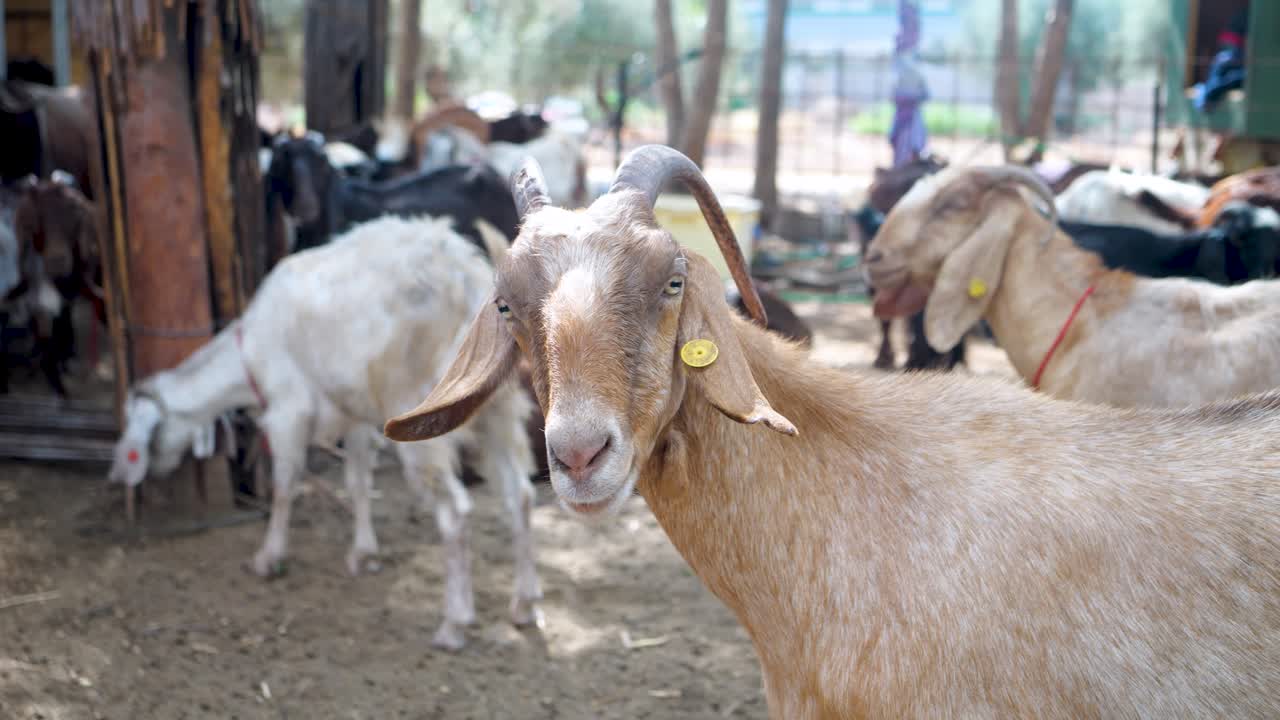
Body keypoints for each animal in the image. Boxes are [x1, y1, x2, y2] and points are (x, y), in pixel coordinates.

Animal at [108, 215, 541, 650]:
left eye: (134, 439)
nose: (121, 477)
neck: (248, 355)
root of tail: (463, 276)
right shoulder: (355, 417)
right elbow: (358, 482)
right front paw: (363, 553)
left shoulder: (288, 411)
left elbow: (284, 486)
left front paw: (268, 556)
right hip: (498, 409)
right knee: (519, 495)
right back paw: (524, 604)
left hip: (421, 407)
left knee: (455, 512)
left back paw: (454, 622)